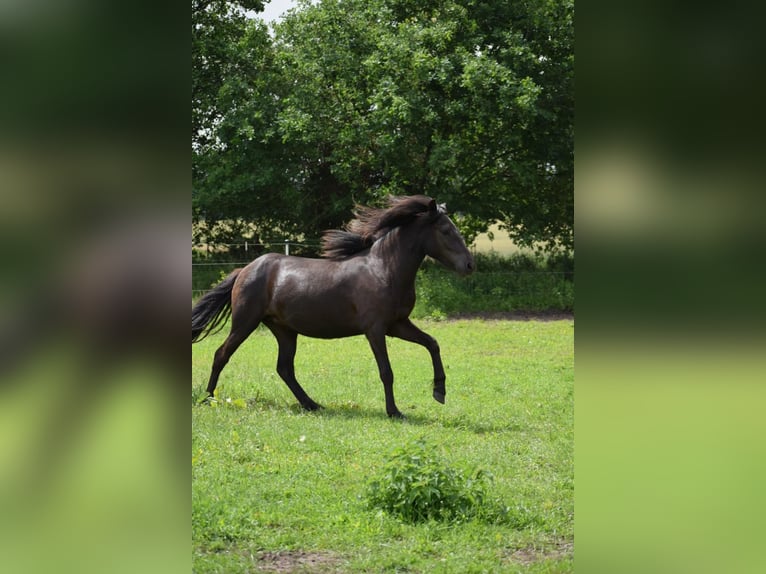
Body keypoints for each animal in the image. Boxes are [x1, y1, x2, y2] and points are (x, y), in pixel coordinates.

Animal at [192, 195, 475, 418]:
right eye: (446, 231)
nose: (469, 265)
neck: (384, 270)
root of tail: (244, 270)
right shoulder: (376, 329)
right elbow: (386, 371)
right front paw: (394, 411)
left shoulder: (398, 325)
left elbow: (432, 344)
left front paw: (439, 392)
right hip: (245, 322)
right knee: (221, 355)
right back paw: (208, 398)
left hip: (284, 330)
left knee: (284, 368)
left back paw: (312, 405)